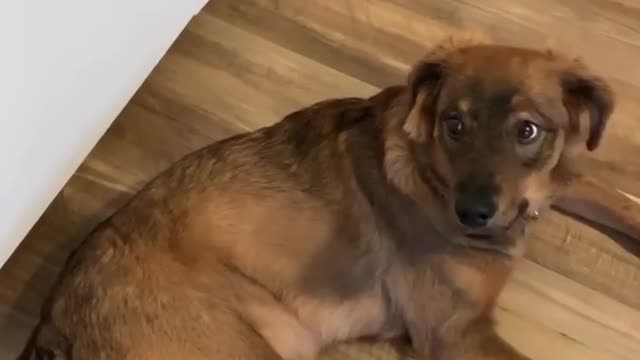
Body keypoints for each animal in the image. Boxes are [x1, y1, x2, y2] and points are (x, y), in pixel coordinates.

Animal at [18, 37, 632, 360]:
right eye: (453, 125)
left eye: (527, 131)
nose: (473, 216)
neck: (430, 172)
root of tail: (54, 320)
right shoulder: (457, 331)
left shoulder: (562, 173)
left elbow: (616, 195)